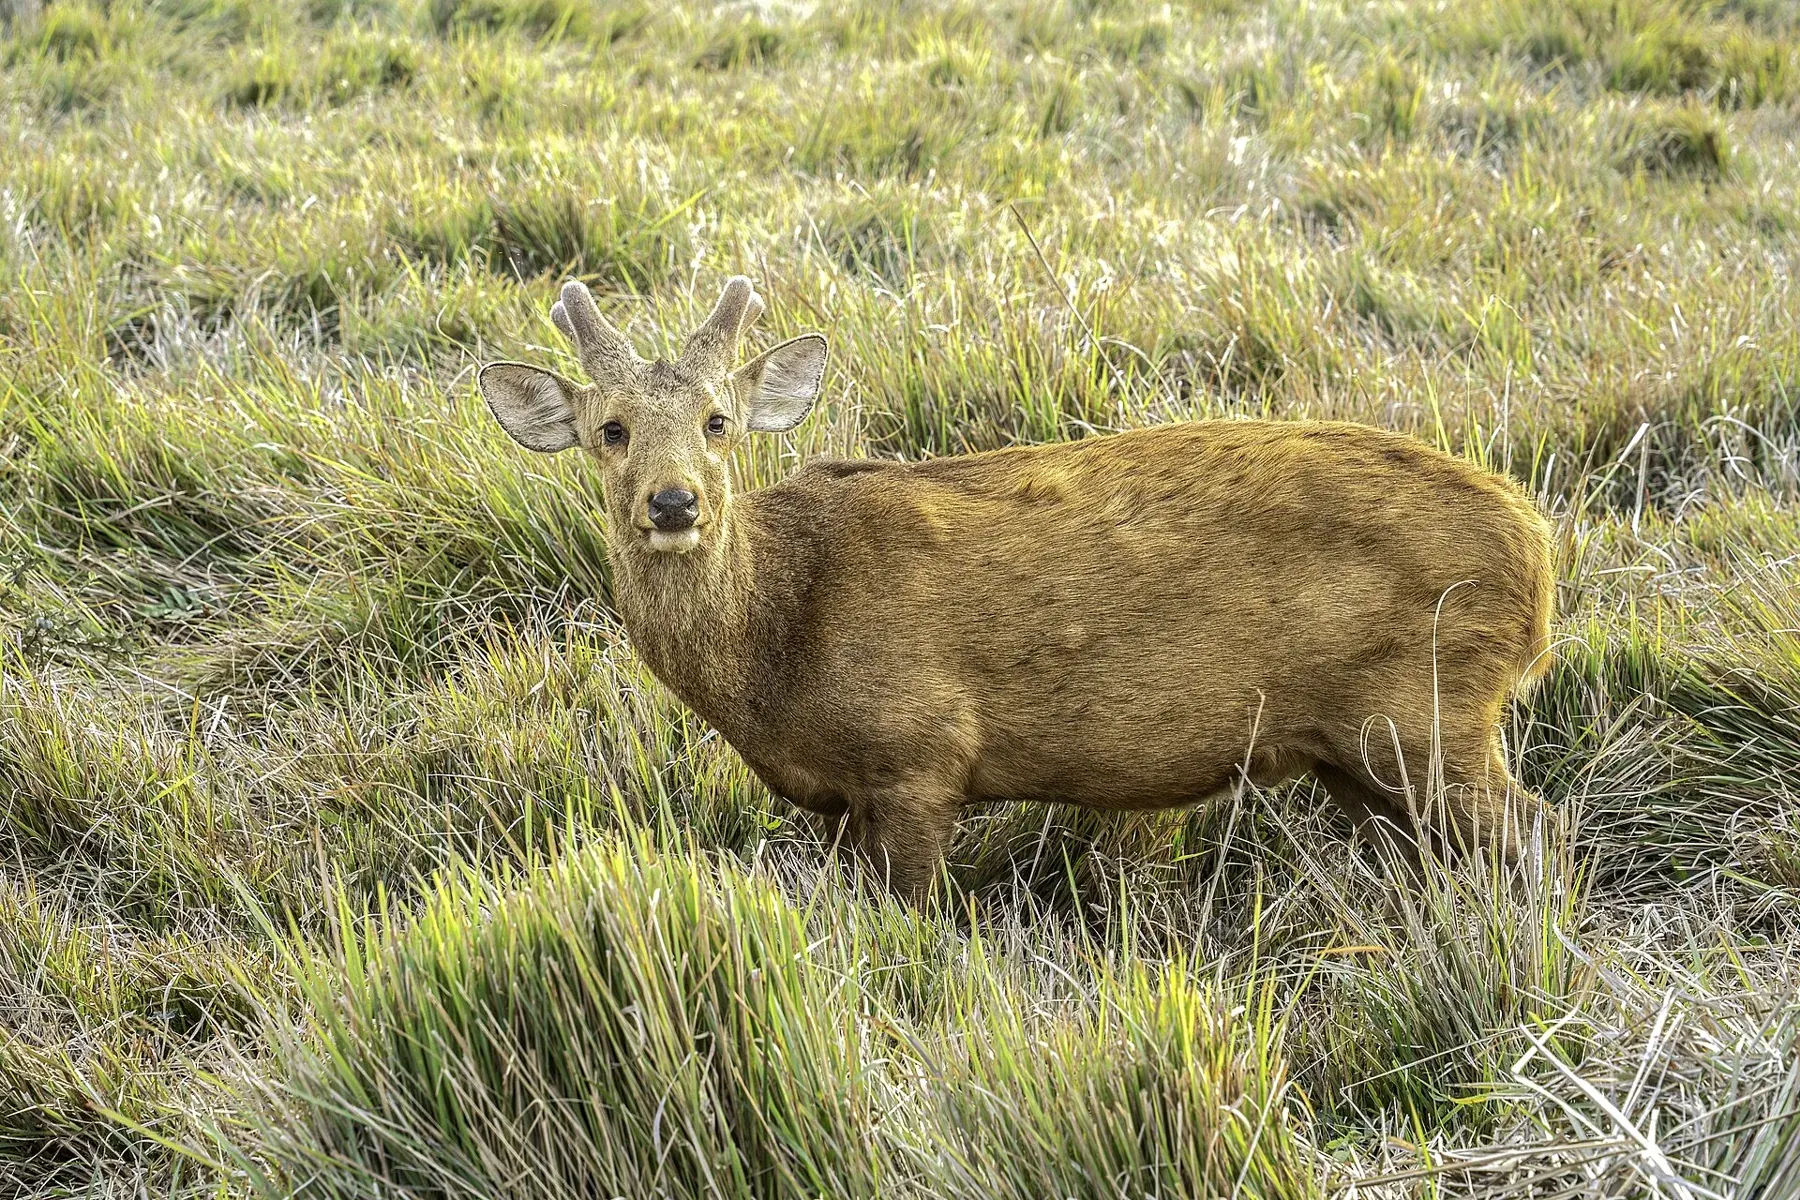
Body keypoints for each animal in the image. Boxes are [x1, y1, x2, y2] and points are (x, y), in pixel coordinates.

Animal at [478, 276, 1557, 899]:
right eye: (610, 428)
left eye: (718, 421)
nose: (672, 502)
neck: (775, 653)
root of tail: (1537, 561)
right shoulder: (837, 800)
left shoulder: (919, 750)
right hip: (1361, 750)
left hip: (1427, 709)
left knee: (1533, 831)